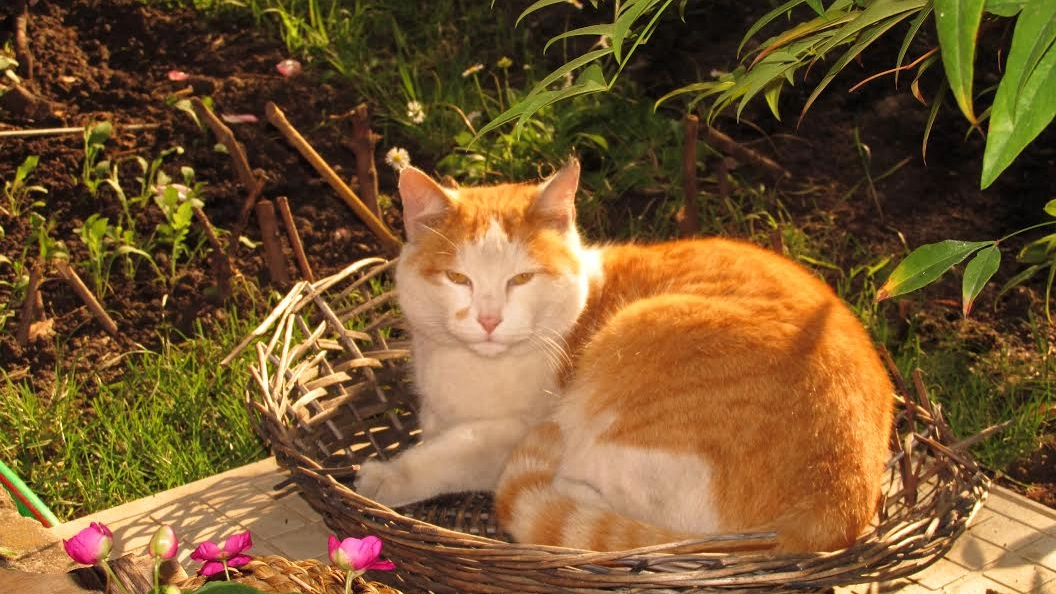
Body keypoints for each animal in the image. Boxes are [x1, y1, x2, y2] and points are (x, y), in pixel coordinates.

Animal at [352, 157, 891, 549]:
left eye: (521, 278)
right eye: (457, 278)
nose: (488, 320)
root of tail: (832, 507)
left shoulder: (513, 428)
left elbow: (452, 451)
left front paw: (385, 477)